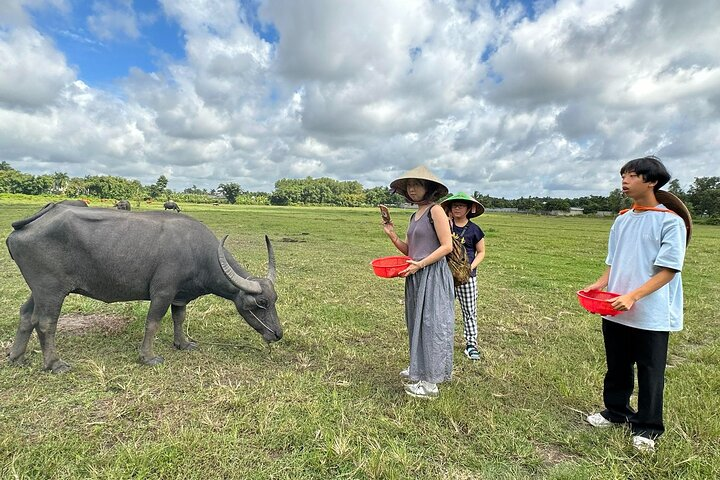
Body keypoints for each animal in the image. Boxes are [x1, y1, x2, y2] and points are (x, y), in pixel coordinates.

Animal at [5, 202, 282, 372]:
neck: (199, 254)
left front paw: (183, 344)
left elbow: (179, 318)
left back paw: (16, 357)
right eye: (261, 303)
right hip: (51, 291)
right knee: (45, 323)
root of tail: (31, 222)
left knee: (26, 315)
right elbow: (153, 323)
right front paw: (148, 357)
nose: (278, 334)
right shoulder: (162, 292)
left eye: (275, 299)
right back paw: (54, 363)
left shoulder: (179, 297)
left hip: (39, 290)